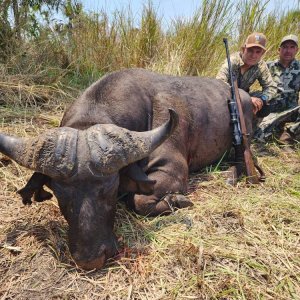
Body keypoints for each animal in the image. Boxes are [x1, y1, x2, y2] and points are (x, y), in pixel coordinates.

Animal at [0, 68, 253, 270]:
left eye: (109, 189)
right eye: (59, 193)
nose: (90, 259)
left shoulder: (172, 171)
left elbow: (139, 200)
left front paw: (177, 200)